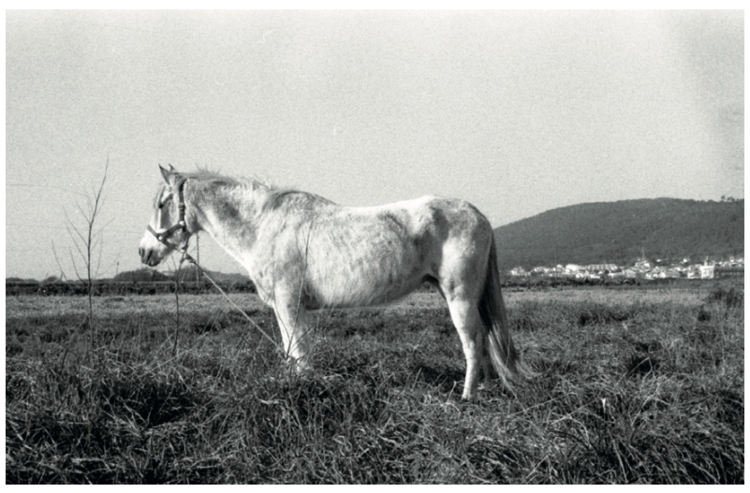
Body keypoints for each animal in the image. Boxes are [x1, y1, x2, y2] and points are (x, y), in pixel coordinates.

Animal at [138, 165, 520, 400]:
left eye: (162, 203)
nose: (144, 252)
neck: (263, 226)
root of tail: (478, 214)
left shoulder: (288, 304)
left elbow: (298, 352)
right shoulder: (292, 308)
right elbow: (296, 354)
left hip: (460, 297)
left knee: (473, 344)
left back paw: (467, 397)